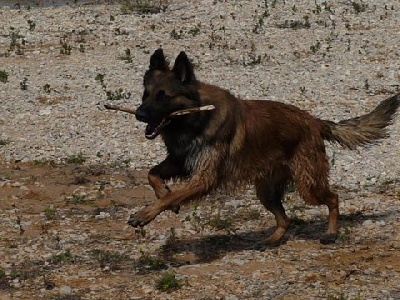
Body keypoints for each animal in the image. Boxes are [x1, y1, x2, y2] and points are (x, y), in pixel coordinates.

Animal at [129, 48, 400, 245]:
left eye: (163, 96)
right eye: (145, 94)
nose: (139, 114)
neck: (196, 117)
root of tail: (313, 120)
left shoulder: (204, 177)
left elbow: (171, 193)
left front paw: (146, 213)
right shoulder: (179, 160)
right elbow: (153, 176)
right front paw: (163, 196)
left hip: (307, 185)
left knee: (333, 198)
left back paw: (331, 232)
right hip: (266, 191)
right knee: (285, 220)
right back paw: (274, 239)